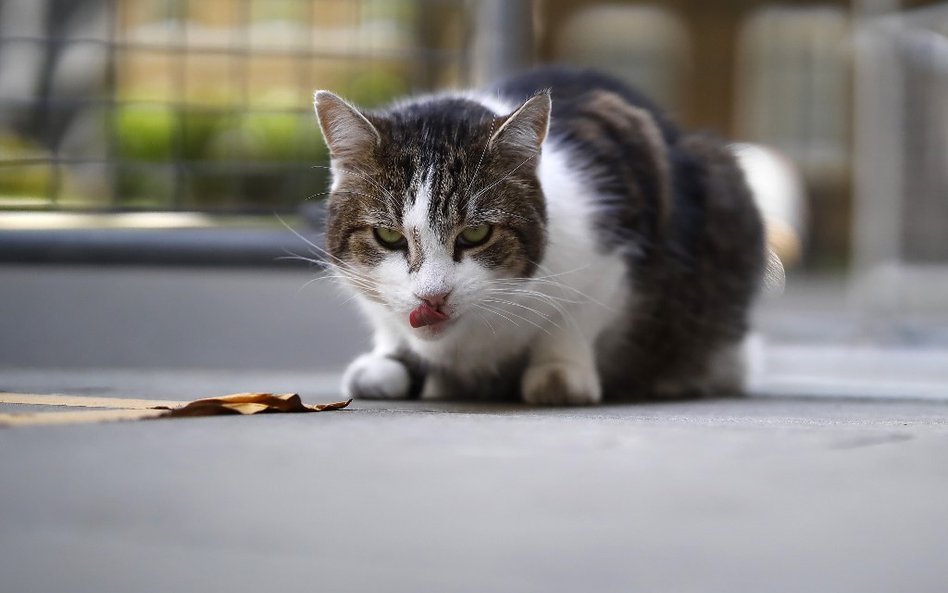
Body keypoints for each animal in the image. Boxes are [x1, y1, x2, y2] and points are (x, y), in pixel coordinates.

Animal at [314, 67, 768, 404]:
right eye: (388, 237)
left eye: (476, 232)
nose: (433, 298)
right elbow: (388, 324)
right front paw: (388, 361)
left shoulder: (621, 221)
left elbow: (577, 315)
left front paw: (559, 372)